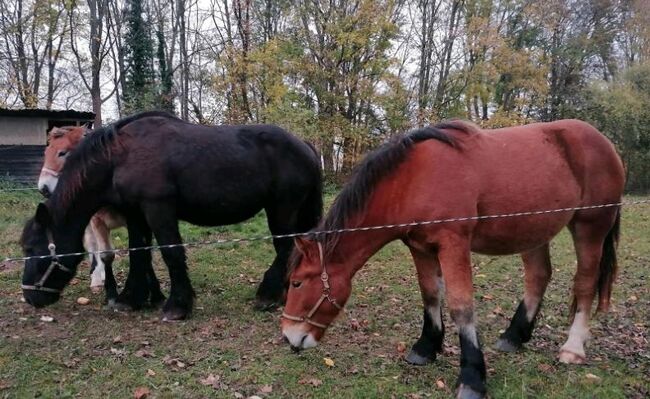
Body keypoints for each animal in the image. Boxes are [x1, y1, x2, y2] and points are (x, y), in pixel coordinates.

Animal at [20, 110, 322, 322]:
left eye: (33, 249)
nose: (29, 296)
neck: (122, 156)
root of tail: (305, 144)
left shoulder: (158, 209)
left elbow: (171, 252)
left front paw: (177, 306)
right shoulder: (136, 214)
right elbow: (139, 253)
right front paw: (132, 298)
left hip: (282, 209)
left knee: (285, 247)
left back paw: (268, 295)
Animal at [280, 119, 624, 399]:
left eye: (296, 283)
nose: (289, 337)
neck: (413, 180)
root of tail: (604, 142)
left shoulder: (453, 244)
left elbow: (461, 306)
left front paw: (472, 378)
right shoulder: (419, 247)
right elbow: (431, 295)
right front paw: (425, 348)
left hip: (590, 227)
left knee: (585, 283)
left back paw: (573, 348)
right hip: (534, 232)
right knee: (538, 276)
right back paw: (514, 336)